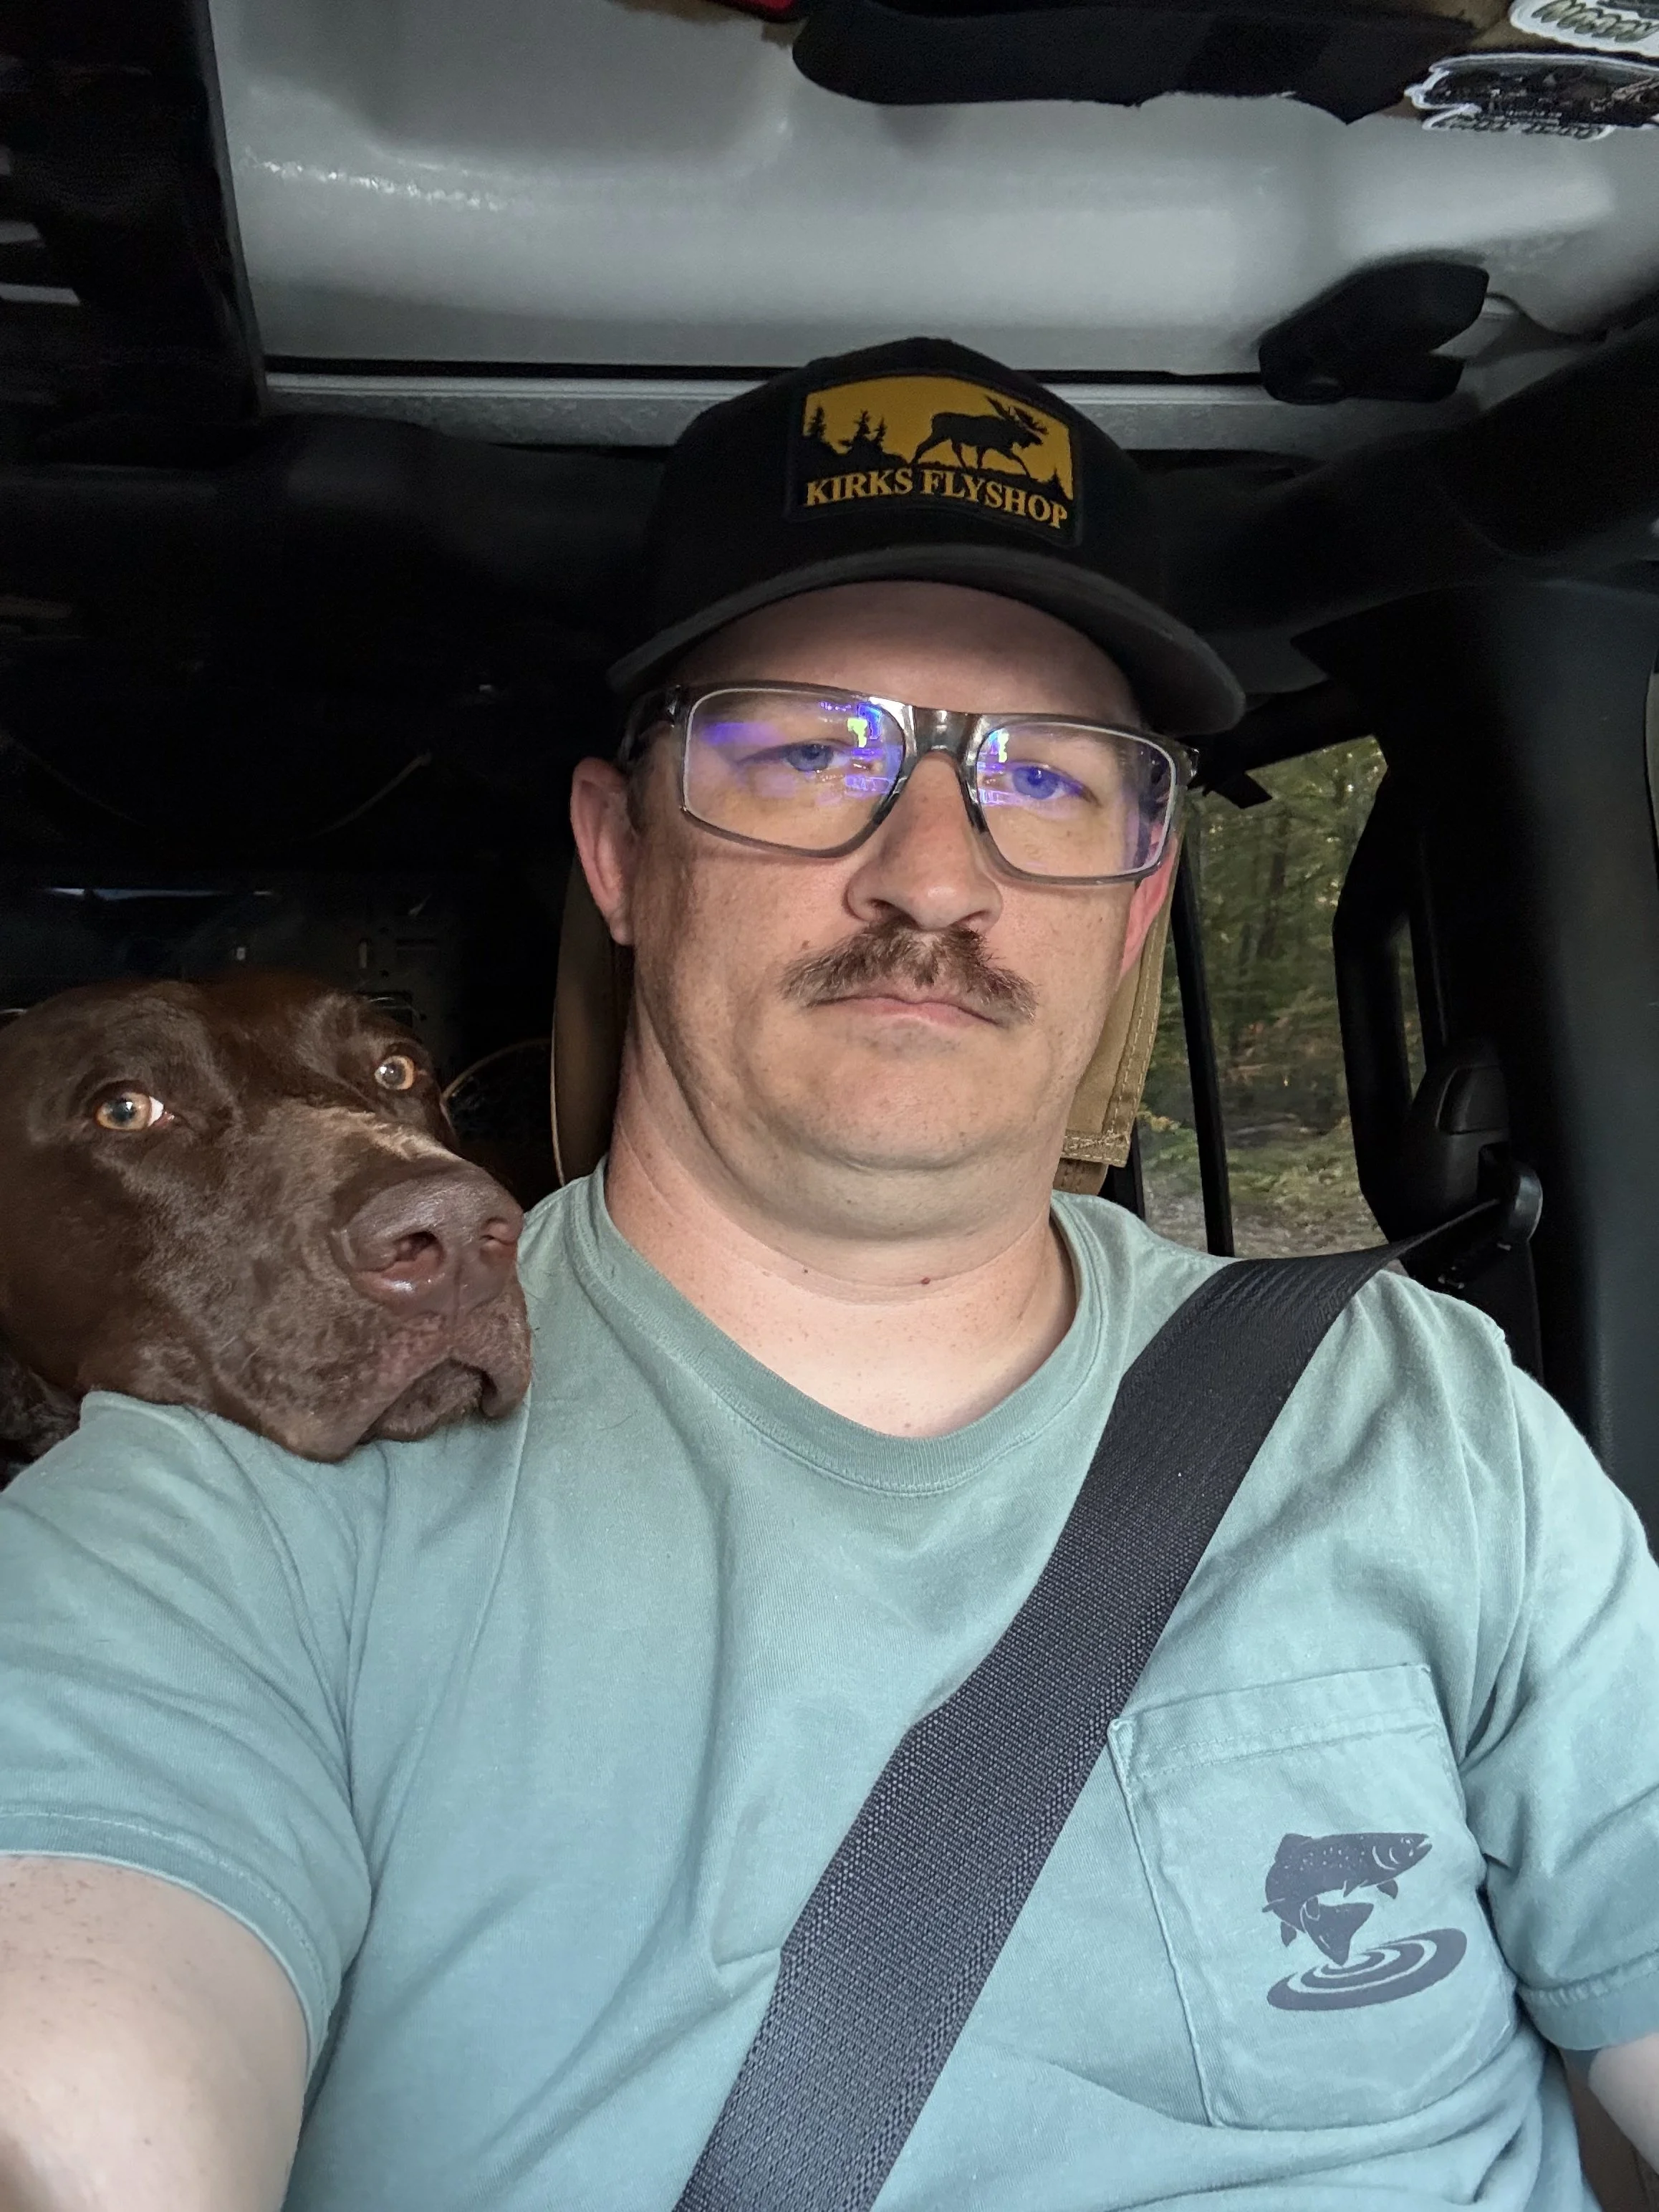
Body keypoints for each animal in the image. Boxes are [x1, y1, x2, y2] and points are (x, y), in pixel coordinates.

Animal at [911, 394, 1047, 475]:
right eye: (1024, 431)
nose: (1038, 440)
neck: (1007, 433)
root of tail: (933, 419)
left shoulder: (984, 446)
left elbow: (980, 461)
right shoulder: (1000, 447)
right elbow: (1018, 459)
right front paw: (1029, 474)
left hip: (949, 437)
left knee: (955, 451)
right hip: (940, 435)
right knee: (923, 445)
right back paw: (914, 463)